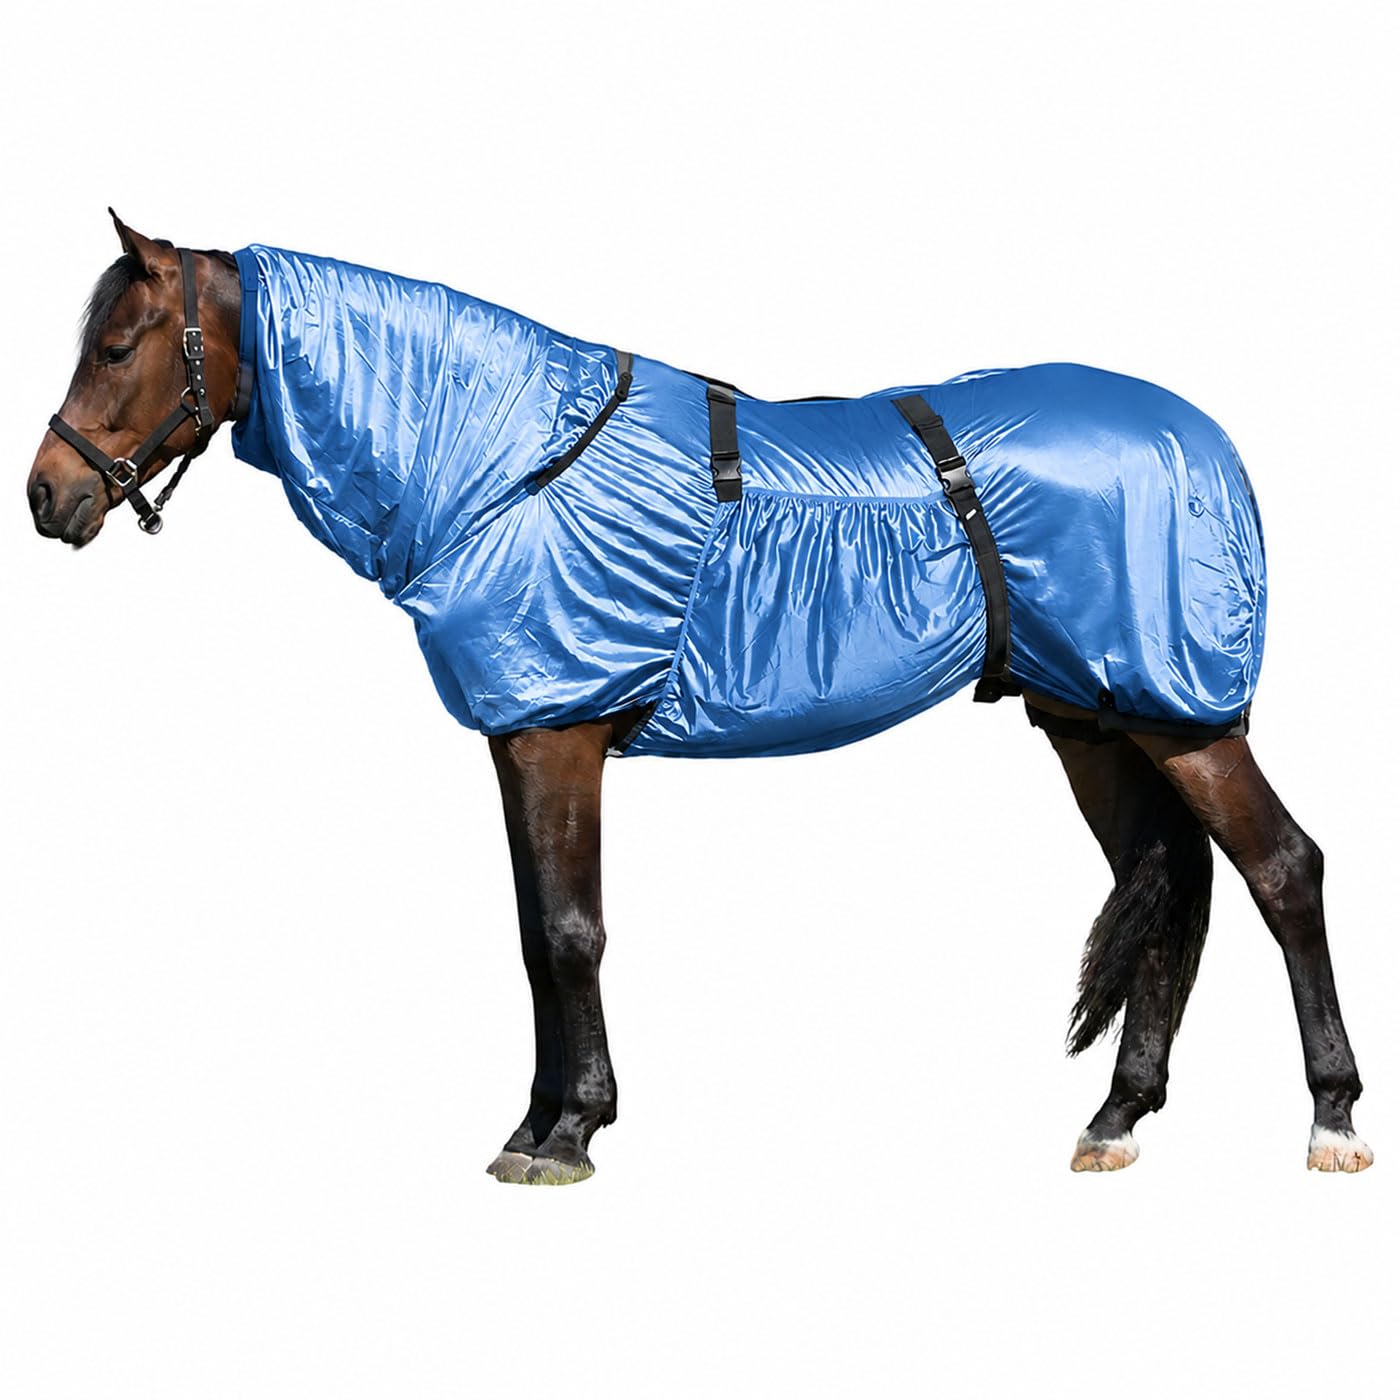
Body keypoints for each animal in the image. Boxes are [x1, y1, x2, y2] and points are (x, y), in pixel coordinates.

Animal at [25, 212, 1372, 1182]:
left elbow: (571, 932)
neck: (508, 457)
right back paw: (1116, 1115)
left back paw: (1330, 1116)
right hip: (1095, 720)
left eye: (115, 346)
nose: (47, 495)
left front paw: (570, 1132)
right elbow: (532, 935)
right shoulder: (522, 739)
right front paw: (535, 1121)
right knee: (1171, 884)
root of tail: (1204, 440)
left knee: (1279, 870)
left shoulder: (558, 736)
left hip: (1173, 713)